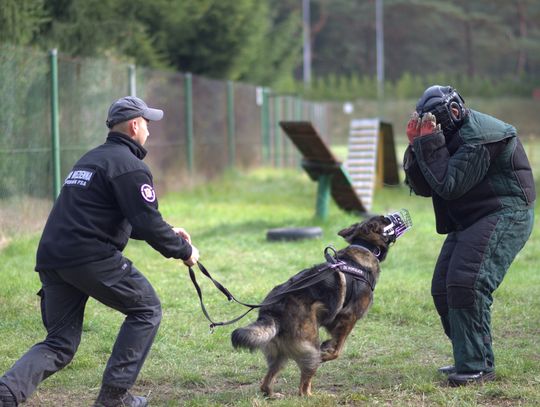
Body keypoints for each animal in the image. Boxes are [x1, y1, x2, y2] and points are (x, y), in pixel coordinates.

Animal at [230, 217, 394, 398]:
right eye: (385, 220)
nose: (390, 217)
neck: (364, 247)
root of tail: (271, 313)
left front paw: (327, 346)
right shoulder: (349, 317)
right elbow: (338, 349)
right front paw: (327, 352)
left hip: (279, 356)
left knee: (265, 383)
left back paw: (273, 394)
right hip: (310, 348)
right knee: (303, 387)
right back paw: (312, 395)